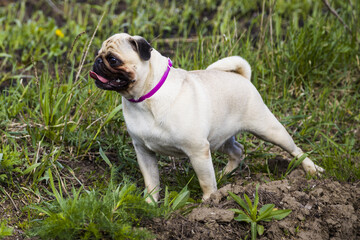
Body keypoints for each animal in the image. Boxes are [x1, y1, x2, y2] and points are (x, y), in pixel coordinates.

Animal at [90, 33, 324, 201]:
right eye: (98, 54)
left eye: (113, 59)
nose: (96, 62)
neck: (144, 98)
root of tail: (241, 77)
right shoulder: (144, 152)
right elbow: (152, 182)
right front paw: (150, 204)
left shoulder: (197, 151)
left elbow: (204, 180)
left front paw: (209, 201)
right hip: (219, 139)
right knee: (237, 150)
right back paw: (223, 175)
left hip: (268, 130)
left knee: (295, 150)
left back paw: (312, 169)